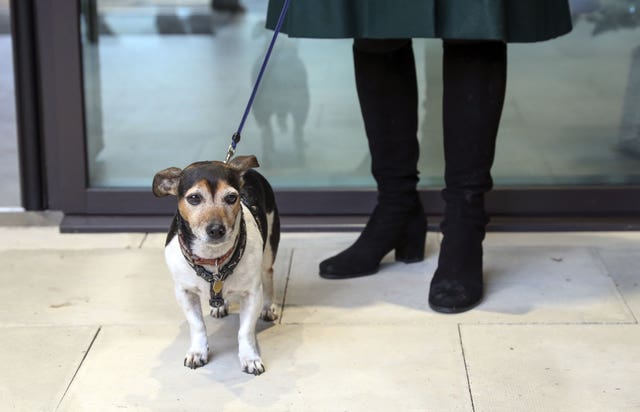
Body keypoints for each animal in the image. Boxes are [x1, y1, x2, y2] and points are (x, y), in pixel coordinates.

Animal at [152, 154, 280, 374]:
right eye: (194, 198)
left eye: (231, 197)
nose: (216, 229)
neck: (213, 259)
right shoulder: (184, 293)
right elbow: (197, 326)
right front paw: (198, 352)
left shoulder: (252, 294)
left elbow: (245, 331)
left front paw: (250, 358)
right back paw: (220, 306)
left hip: (269, 250)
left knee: (268, 275)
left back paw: (268, 307)